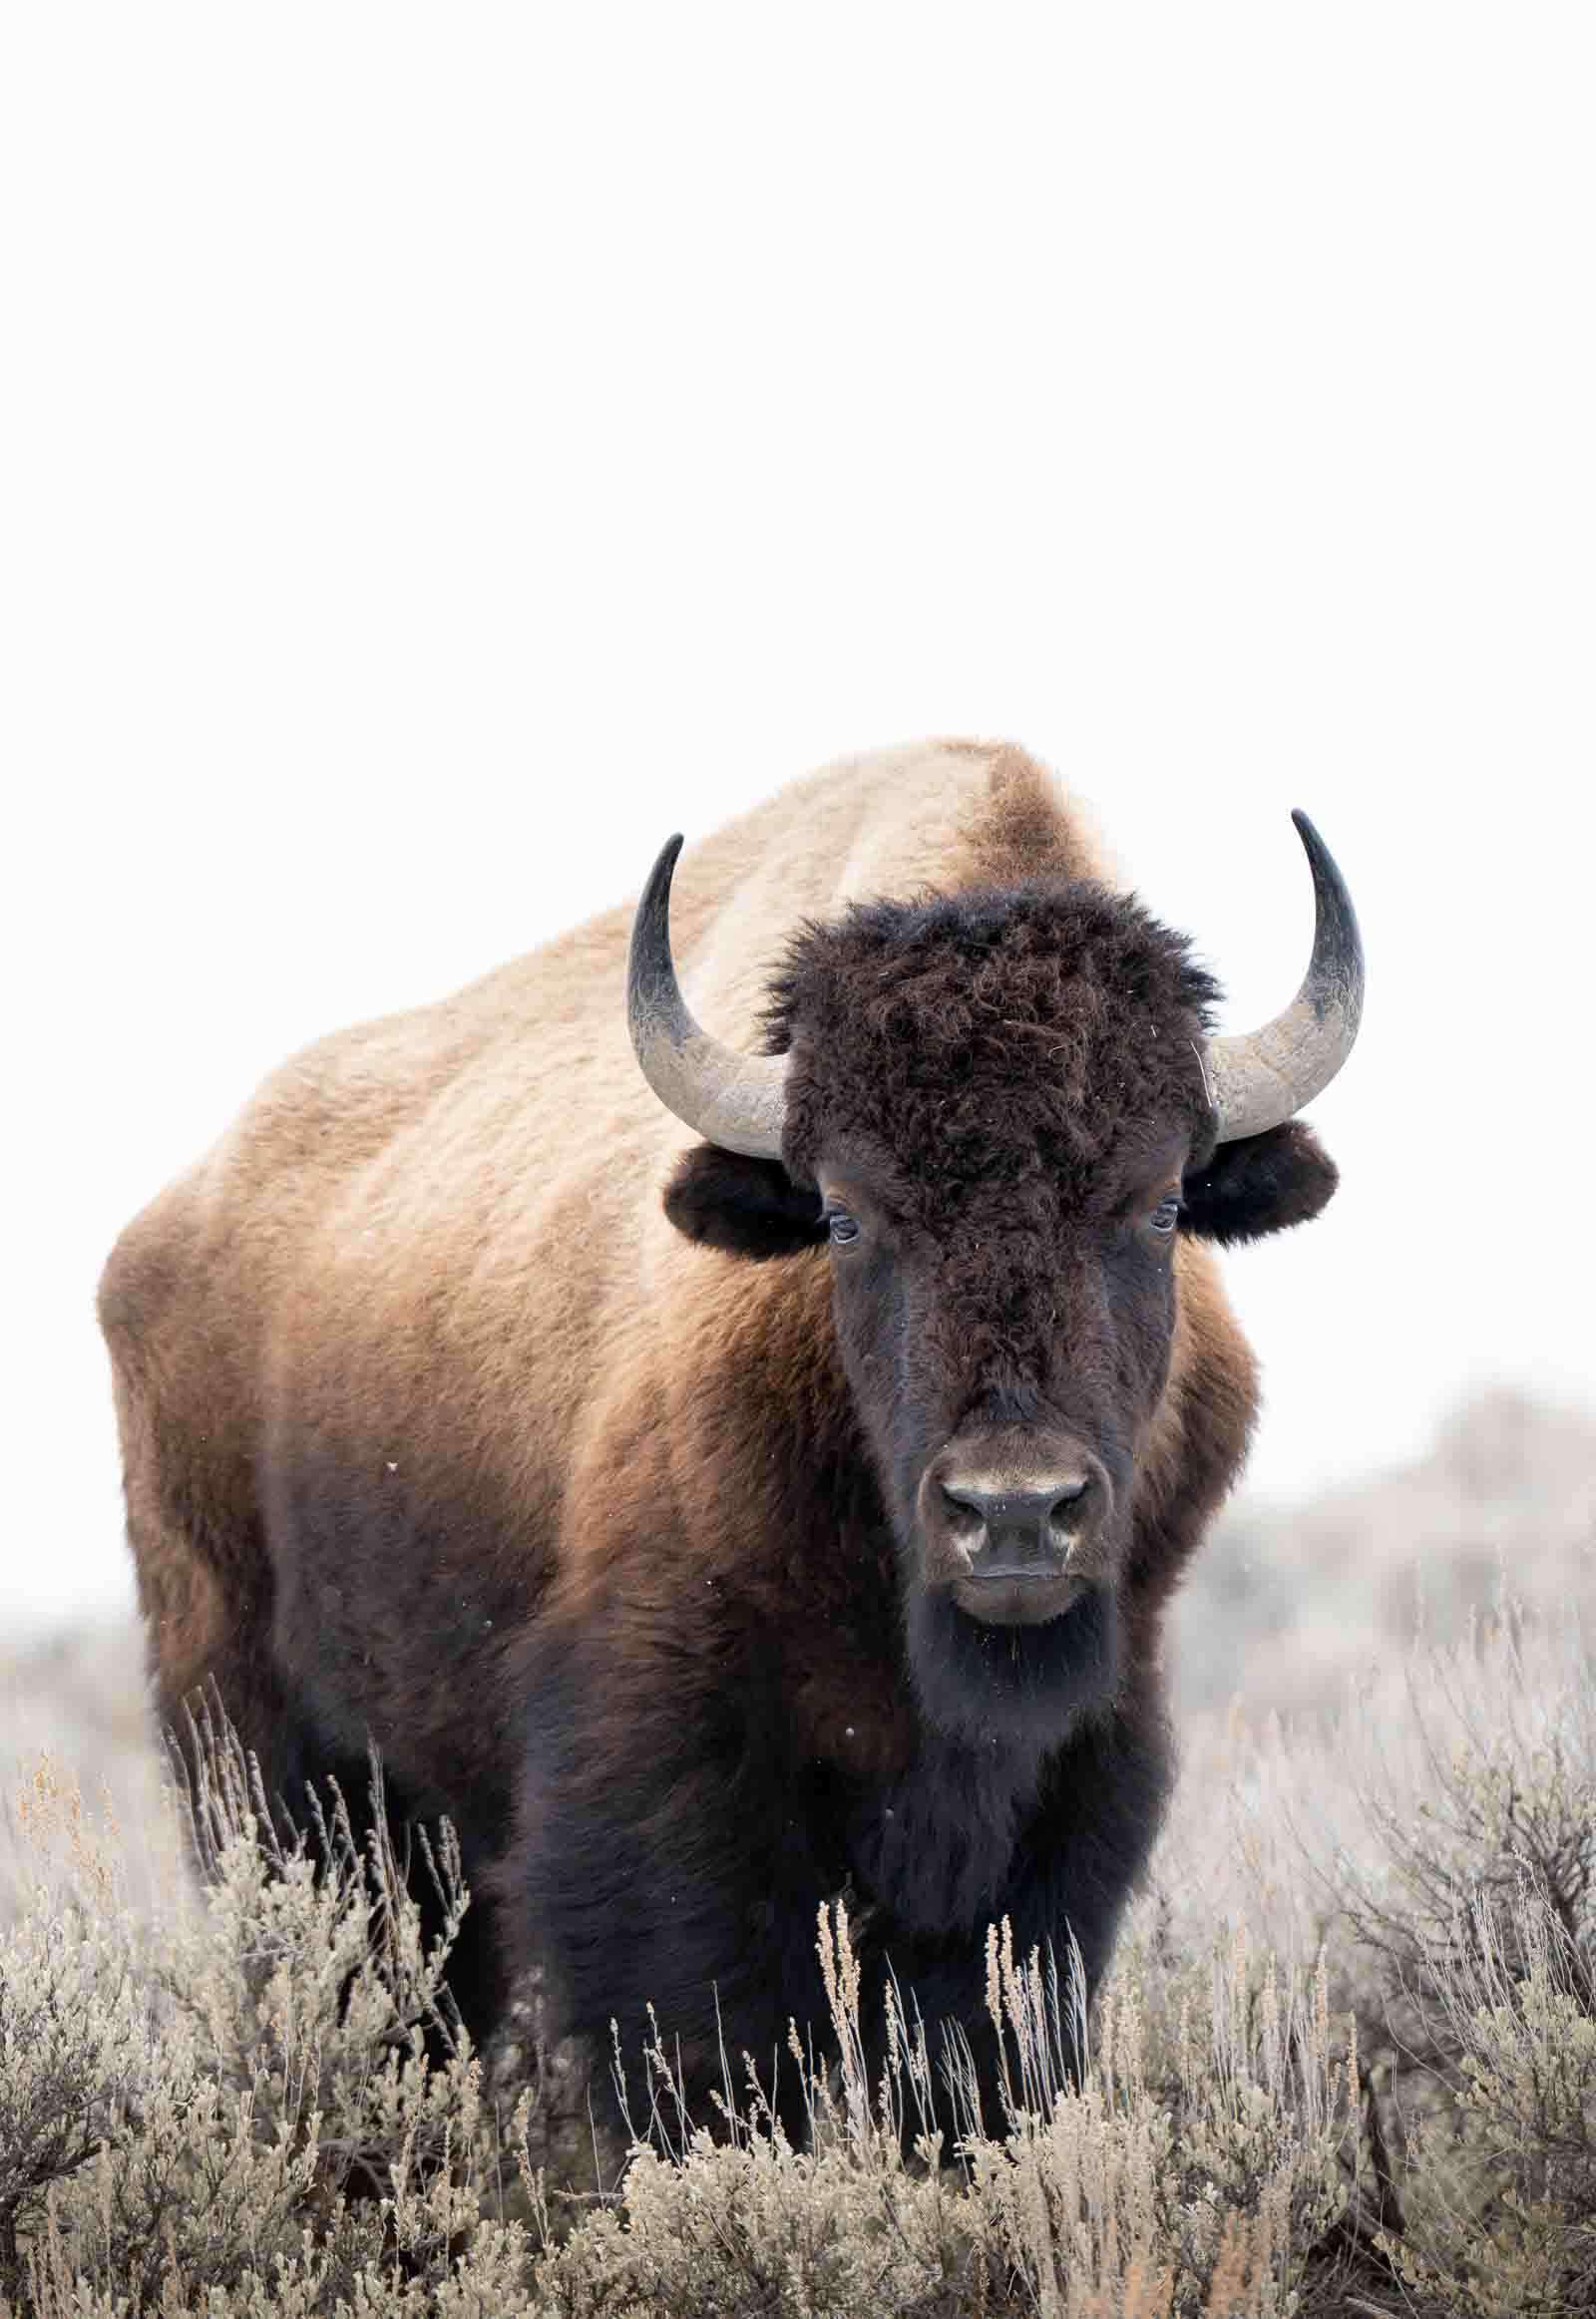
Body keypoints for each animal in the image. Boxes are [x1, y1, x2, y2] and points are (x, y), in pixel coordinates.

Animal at [99, 738, 1362, 2127]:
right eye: (847, 1214)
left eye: (1161, 1203)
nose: (1014, 1512)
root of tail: (161, 1235)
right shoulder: (661, 1750)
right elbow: (714, 2037)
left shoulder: (1084, 1756)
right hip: (264, 1749)